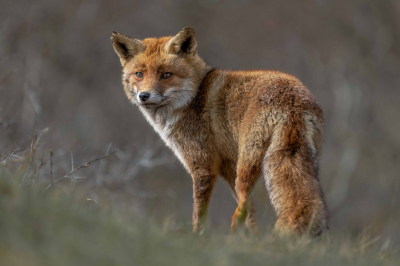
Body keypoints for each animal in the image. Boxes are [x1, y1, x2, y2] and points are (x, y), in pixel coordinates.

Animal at [111, 26, 326, 235]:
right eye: (139, 74)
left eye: (166, 75)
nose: (144, 96)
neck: (193, 98)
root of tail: (293, 101)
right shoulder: (227, 167)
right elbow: (252, 215)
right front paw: (253, 239)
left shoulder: (203, 167)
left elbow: (199, 214)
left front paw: (197, 238)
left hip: (246, 167)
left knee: (241, 207)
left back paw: (230, 239)